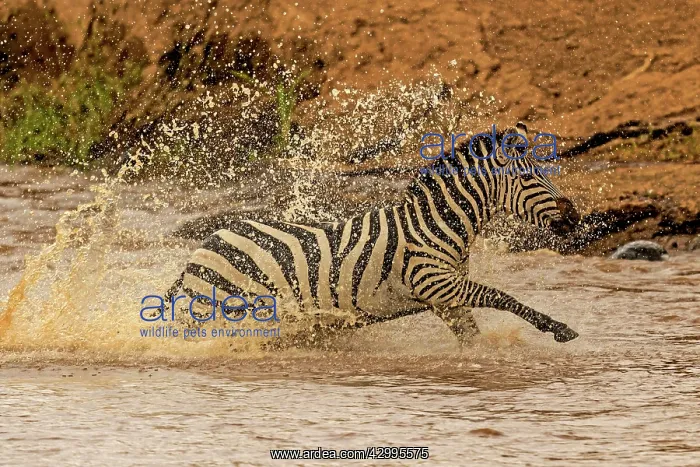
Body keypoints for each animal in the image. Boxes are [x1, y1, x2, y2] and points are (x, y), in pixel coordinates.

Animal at [165, 122, 581, 346]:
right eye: (529, 178)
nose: (574, 216)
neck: (436, 225)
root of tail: (202, 248)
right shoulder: (436, 284)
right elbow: (502, 296)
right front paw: (558, 328)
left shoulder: (446, 299)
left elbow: (472, 336)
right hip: (222, 311)